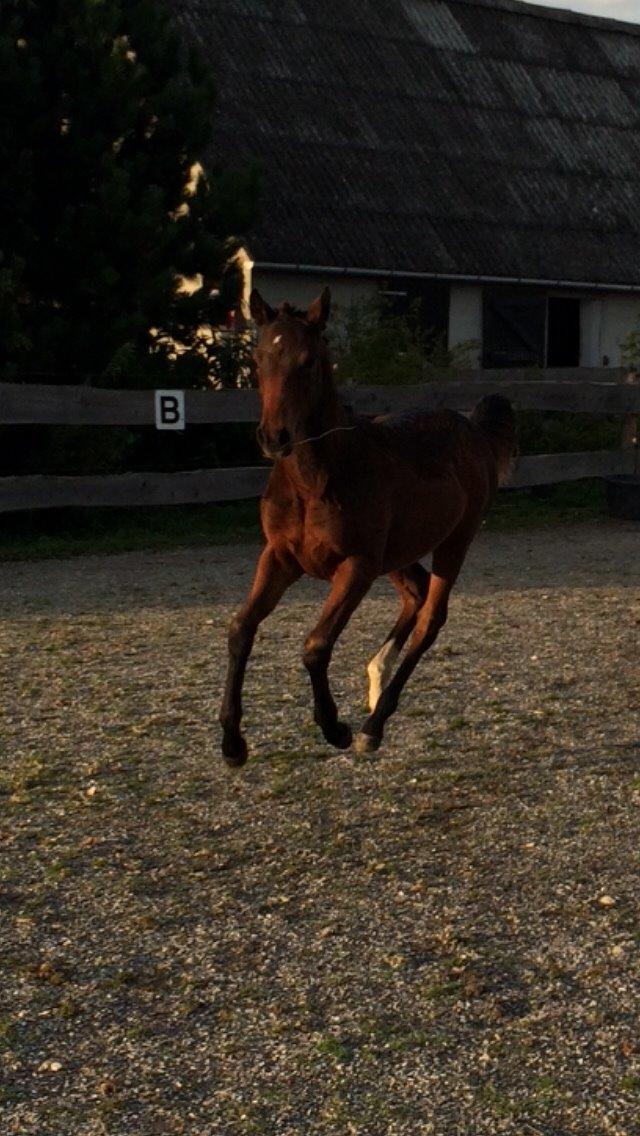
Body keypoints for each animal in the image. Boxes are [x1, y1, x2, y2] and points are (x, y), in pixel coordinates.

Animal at [220, 284, 516, 767]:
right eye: (259, 358)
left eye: (309, 361)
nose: (274, 438)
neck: (315, 480)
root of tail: (473, 428)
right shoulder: (279, 557)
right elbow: (241, 629)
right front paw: (231, 743)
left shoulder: (356, 567)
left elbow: (316, 646)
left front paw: (335, 727)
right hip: (397, 553)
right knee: (415, 592)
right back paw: (376, 680)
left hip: (454, 541)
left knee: (430, 619)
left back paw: (372, 727)